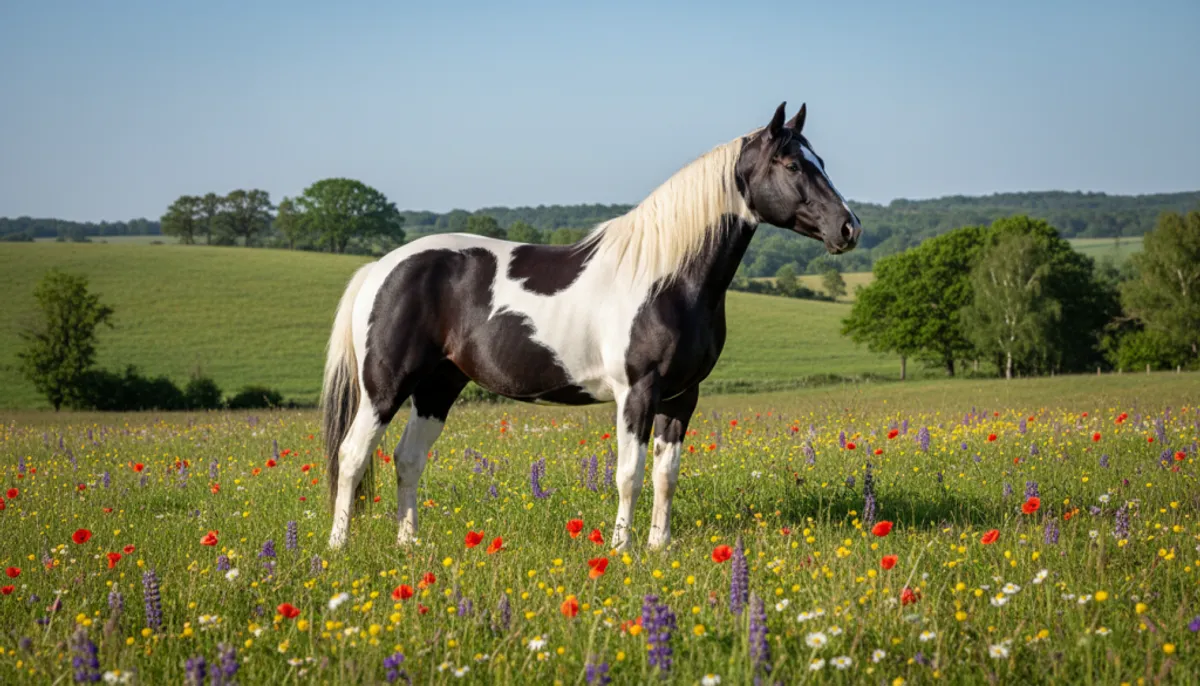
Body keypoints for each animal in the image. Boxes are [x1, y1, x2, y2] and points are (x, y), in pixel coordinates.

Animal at [320, 101, 861, 551]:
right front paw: (622, 548)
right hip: (385, 387)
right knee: (352, 456)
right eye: (792, 165)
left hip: (438, 386)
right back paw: (338, 545)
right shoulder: (636, 391)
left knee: (408, 460)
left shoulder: (682, 395)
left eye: (821, 161)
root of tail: (381, 267)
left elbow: (666, 475)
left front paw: (658, 546)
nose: (849, 228)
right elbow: (629, 474)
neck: (667, 277)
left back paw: (409, 543)